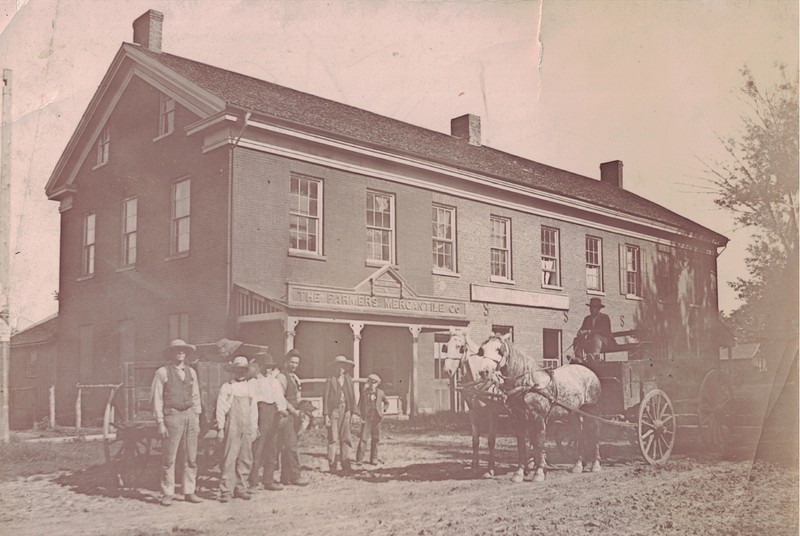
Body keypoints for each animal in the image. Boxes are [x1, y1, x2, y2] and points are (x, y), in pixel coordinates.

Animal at [478, 336, 604, 482]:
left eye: (499, 350)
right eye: (482, 350)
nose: (484, 371)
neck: (528, 384)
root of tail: (589, 371)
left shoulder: (538, 419)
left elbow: (539, 443)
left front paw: (538, 472)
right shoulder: (517, 420)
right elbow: (521, 445)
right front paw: (519, 473)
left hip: (592, 409)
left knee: (595, 432)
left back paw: (596, 464)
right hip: (573, 412)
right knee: (579, 432)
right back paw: (577, 465)